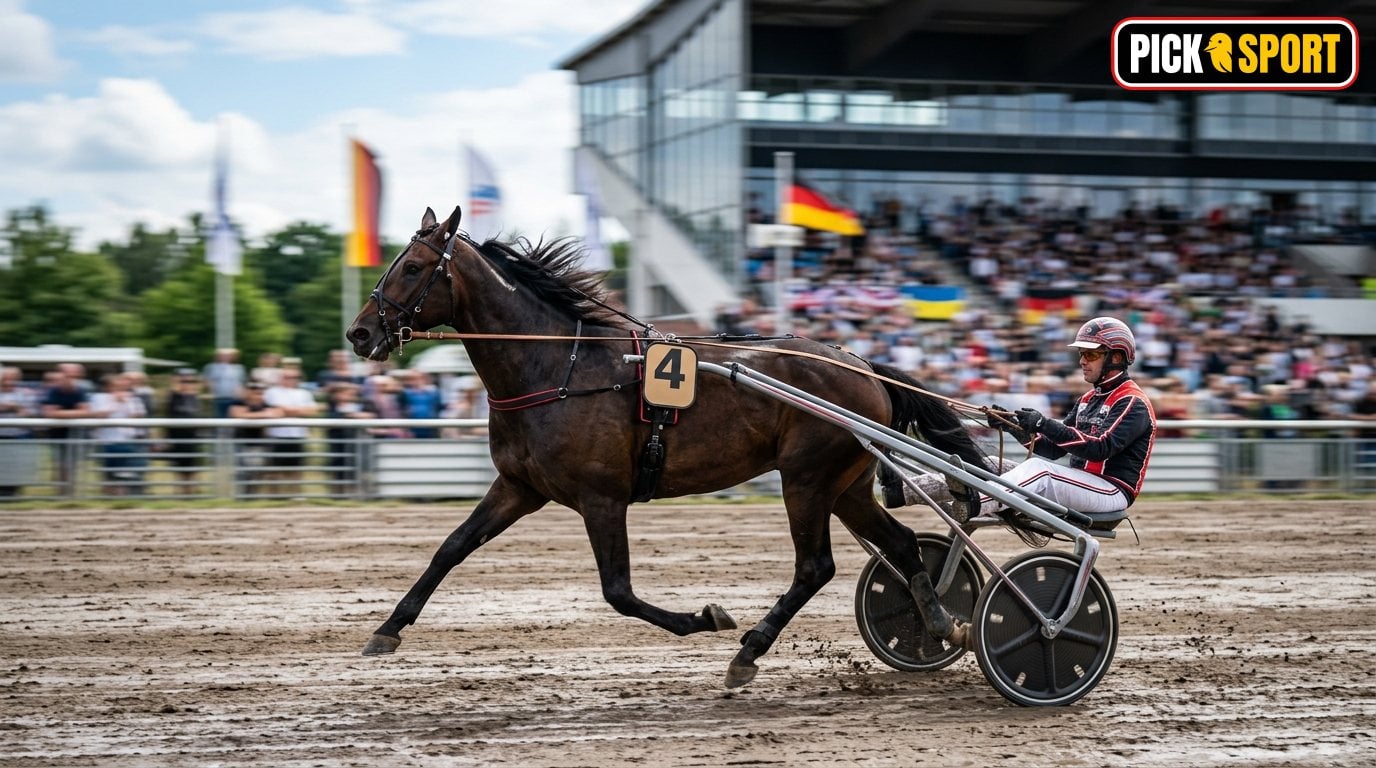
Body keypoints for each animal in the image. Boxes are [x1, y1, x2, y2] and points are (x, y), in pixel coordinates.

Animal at [346, 205, 992, 687]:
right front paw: (388, 629)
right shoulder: (519, 487)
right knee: (901, 544)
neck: (557, 367)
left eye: (413, 266)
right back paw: (941, 624)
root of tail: (859, 362)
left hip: (806, 477)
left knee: (815, 566)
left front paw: (705, 617)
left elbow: (619, 591)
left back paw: (748, 651)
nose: (359, 332)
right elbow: (450, 549)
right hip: (845, 482)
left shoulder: (601, 498)